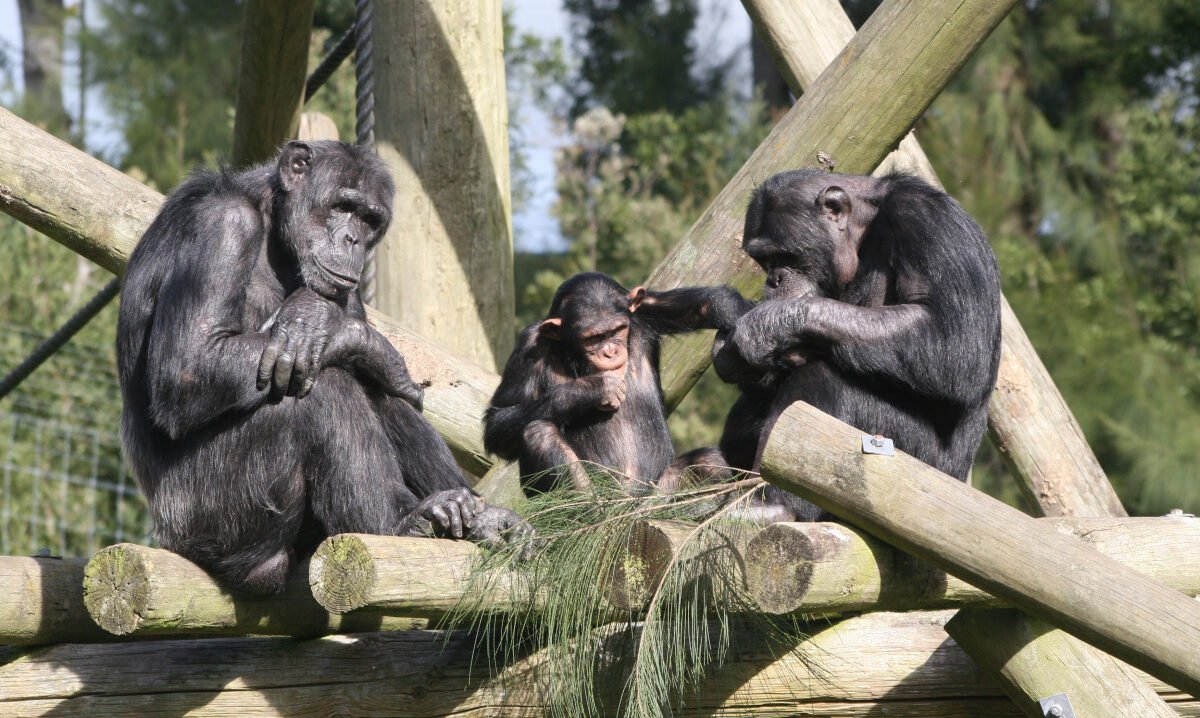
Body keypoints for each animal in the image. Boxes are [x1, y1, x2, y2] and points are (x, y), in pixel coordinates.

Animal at [119, 140, 528, 595]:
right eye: (342, 206)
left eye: (369, 219)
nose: (353, 239)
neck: (272, 224)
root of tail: (169, 538)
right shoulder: (221, 227)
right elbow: (189, 366)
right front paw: (337, 328)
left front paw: (326, 323)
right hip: (210, 515)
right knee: (324, 388)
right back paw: (400, 522)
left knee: (371, 388)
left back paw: (478, 516)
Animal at [480, 272, 748, 497]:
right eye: (593, 338)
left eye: (617, 330)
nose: (610, 351)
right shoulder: (529, 346)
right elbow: (498, 420)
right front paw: (591, 389)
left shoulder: (643, 310)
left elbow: (701, 305)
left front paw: (741, 321)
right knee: (539, 434)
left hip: (656, 492)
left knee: (710, 462)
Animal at [710, 170, 1003, 523]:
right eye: (763, 260)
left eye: (785, 256)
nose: (773, 279)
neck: (865, 231)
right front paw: (733, 354)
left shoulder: (927, 220)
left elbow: (955, 338)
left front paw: (767, 324)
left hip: (918, 467)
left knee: (823, 379)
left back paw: (774, 502)